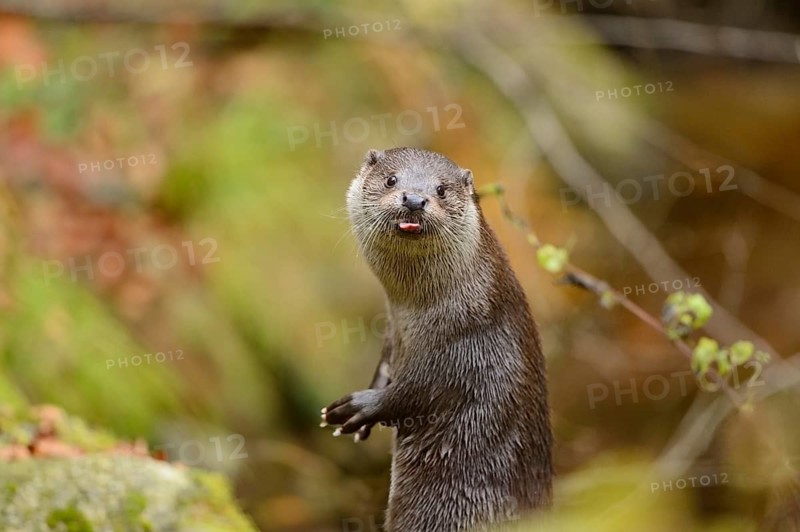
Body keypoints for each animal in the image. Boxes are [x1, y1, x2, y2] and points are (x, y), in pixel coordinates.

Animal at [322, 147, 553, 531]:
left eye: (441, 189)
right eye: (391, 179)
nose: (415, 199)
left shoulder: (466, 347)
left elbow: (422, 390)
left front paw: (363, 406)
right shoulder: (394, 331)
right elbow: (387, 365)